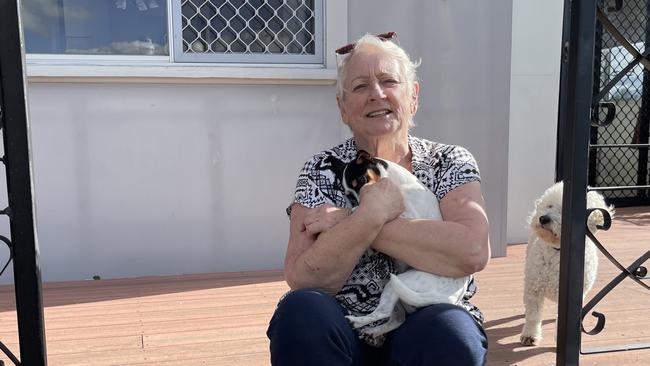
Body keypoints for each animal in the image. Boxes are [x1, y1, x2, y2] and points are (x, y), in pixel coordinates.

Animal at [324, 151, 466, 338]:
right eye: (349, 195)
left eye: (362, 180)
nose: (361, 203)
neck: (396, 181)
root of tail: (453, 296)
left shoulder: (411, 217)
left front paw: (358, 212)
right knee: (397, 318)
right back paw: (373, 331)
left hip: (398, 284)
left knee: (383, 312)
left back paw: (355, 321)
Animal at [516, 182, 612, 348]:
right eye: (549, 205)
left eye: (564, 210)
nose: (543, 218)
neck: (559, 251)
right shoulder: (534, 288)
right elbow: (533, 315)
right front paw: (530, 335)